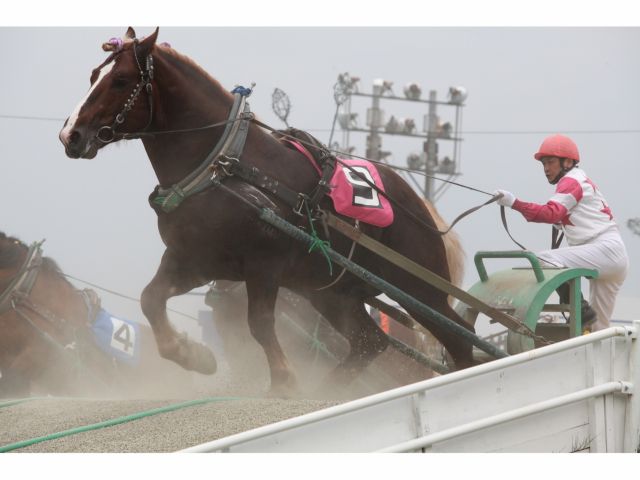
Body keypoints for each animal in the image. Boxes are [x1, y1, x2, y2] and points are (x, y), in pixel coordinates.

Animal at [58, 27, 474, 395]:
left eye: (121, 80)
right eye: (94, 75)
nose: (70, 134)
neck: (225, 165)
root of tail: (418, 204)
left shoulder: (263, 264)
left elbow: (258, 323)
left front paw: (284, 380)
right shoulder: (195, 259)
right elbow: (150, 298)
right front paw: (193, 355)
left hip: (419, 289)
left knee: (459, 338)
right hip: (332, 291)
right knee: (369, 341)